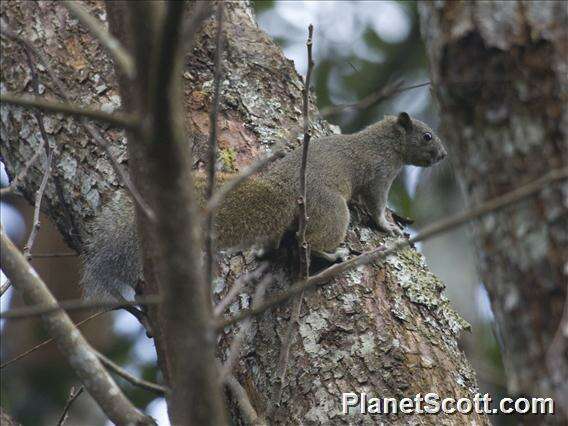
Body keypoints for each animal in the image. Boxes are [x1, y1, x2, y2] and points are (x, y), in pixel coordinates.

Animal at [81, 113, 448, 300]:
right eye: (427, 136)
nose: (444, 155)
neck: (384, 141)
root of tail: (284, 195)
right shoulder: (379, 174)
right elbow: (375, 203)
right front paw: (387, 225)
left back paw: (264, 252)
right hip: (330, 209)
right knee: (310, 241)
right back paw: (333, 255)